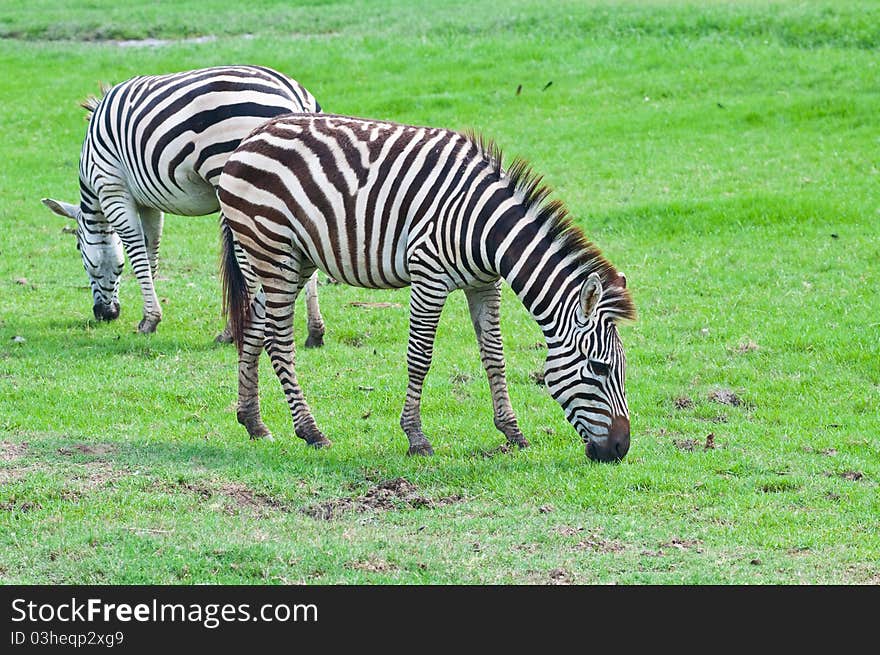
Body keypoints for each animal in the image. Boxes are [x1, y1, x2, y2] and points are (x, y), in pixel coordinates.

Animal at [42, 64, 326, 346]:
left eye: (79, 250)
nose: (105, 314)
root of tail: (293, 93)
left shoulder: (113, 189)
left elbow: (135, 252)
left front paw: (149, 320)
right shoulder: (148, 201)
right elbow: (151, 251)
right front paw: (149, 312)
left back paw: (231, 332)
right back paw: (314, 332)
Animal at [217, 114, 636, 462]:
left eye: (621, 369)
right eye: (599, 368)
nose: (619, 450)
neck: (487, 230)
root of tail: (250, 138)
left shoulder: (485, 284)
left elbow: (494, 356)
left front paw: (512, 432)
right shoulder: (429, 275)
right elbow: (420, 358)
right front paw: (416, 437)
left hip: (290, 257)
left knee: (253, 328)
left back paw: (253, 422)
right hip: (274, 251)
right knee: (279, 342)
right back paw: (310, 431)